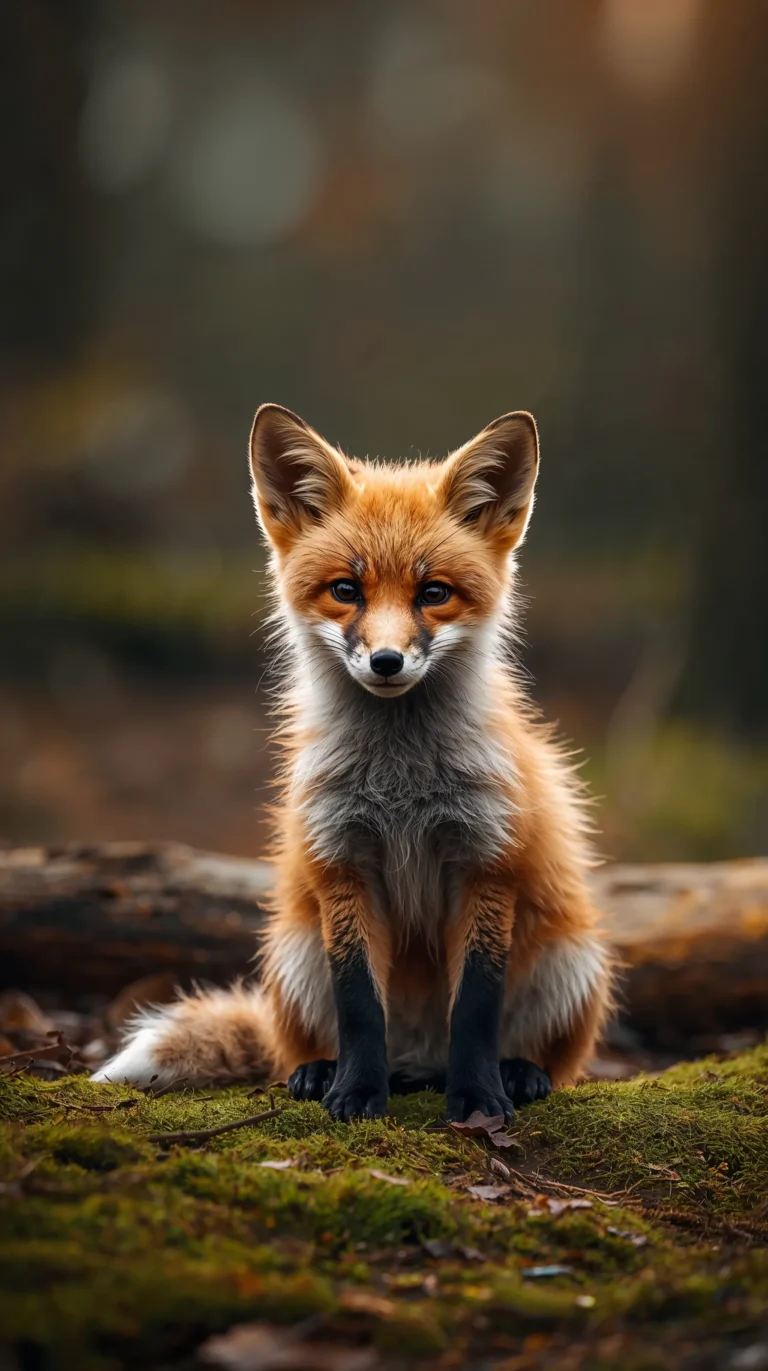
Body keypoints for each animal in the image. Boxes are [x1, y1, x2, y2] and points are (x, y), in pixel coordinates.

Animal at [94, 403, 613, 1122]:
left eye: (434, 593)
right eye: (346, 589)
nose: (387, 661)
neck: (402, 786)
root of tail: (420, 1060)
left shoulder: (486, 863)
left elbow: (476, 1007)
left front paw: (478, 1099)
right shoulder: (343, 860)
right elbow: (360, 1003)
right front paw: (358, 1093)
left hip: (573, 960)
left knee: (541, 1055)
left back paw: (517, 1073)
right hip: (292, 953)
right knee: (306, 1043)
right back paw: (324, 1072)